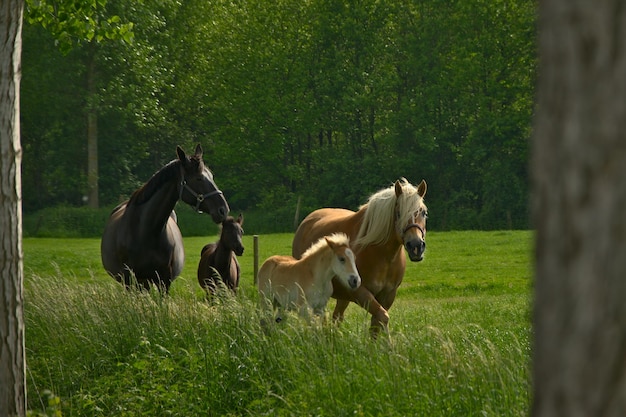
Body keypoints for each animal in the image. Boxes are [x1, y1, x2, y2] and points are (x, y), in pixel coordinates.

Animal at [100, 145, 229, 290]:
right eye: (199, 178)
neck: (145, 232)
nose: (223, 210)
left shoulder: (164, 281)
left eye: (211, 176)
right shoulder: (130, 280)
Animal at [292, 177, 426, 334]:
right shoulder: (359, 291)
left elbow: (377, 323)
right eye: (398, 213)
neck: (381, 254)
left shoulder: (388, 294)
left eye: (423, 212)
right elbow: (382, 316)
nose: (416, 246)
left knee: (336, 317)